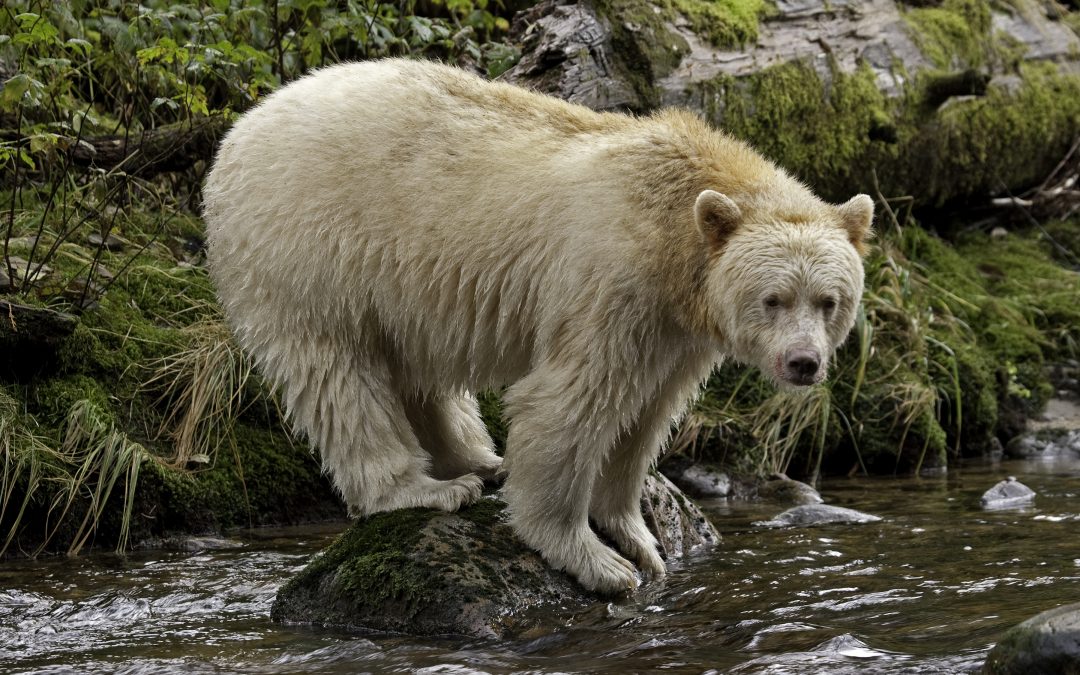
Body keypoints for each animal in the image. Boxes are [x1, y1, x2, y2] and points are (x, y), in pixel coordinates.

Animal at [203, 58, 872, 595]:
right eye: (773, 299)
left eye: (829, 301)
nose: (804, 363)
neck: (670, 230)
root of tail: (238, 131)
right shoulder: (611, 286)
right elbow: (570, 403)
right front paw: (597, 560)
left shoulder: (676, 327)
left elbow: (647, 415)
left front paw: (639, 538)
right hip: (311, 251)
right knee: (339, 375)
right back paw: (424, 487)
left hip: (396, 284)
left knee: (412, 369)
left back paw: (477, 459)